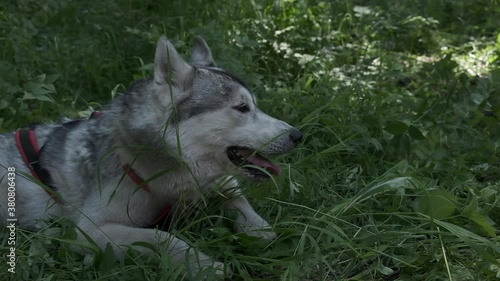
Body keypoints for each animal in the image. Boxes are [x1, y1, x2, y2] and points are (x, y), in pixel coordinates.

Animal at [0, 36, 300, 274]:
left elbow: (237, 197)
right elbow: (163, 238)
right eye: (241, 107)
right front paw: (204, 265)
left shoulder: (215, 184)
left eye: (255, 106)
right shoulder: (89, 231)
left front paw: (259, 230)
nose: (298, 135)